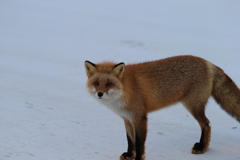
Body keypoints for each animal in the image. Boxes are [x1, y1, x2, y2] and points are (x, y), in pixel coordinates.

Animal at [84, 55, 240, 160]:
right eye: (96, 83)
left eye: (109, 83)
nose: (100, 94)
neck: (124, 89)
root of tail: (208, 62)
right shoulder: (127, 119)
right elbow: (130, 140)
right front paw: (129, 154)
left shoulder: (140, 118)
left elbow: (139, 143)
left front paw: (138, 158)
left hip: (193, 106)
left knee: (207, 124)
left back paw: (202, 147)